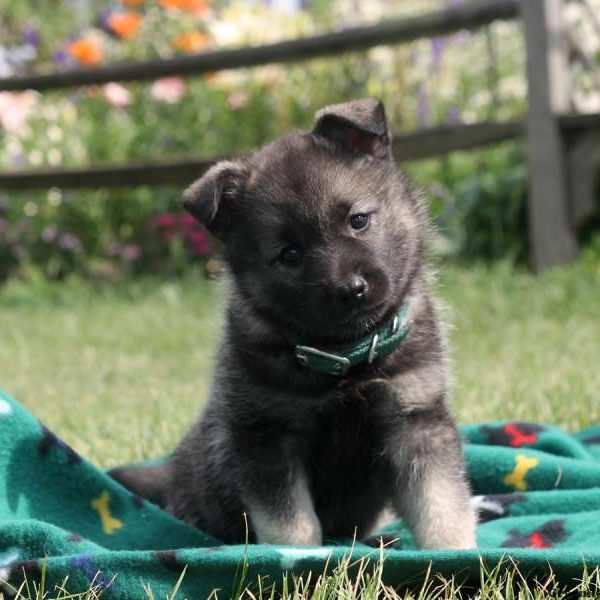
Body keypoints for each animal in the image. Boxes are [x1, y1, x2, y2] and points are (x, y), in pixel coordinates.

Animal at [110, 98, 478, 548]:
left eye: (358, 220)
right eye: (289, 254)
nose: (350, 289)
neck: (346, 358)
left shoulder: (416, 421)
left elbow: (441, 505)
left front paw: (458, 552)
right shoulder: (268, 437)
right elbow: (291, 525)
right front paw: (297, 558)